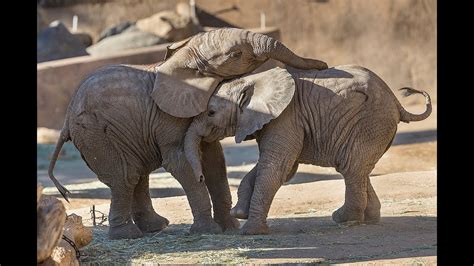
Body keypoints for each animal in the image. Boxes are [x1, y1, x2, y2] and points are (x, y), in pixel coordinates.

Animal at [49, 28, 330, 240]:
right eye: (236, 54)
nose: (323, 64)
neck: (184, 58)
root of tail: (65, 121)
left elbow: (215, 161)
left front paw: (229, 228)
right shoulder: (168, 115)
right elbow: (180, 160)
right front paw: (209, 230)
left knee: (137, 174)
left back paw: (157, 227)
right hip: (95, 132)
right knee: (125, 175)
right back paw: (127, 236)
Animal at [183, 65, 432, 234]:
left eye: (211, 113)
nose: (201, 177)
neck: (253, 80)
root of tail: (396, 101)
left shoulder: (286, 117)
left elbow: (276, 167)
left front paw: (250, 231)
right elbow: (281, 168)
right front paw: (239, 213)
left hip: (371, 123)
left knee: (351, 168)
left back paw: (344, 219)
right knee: (357, 168)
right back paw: (367, 218)